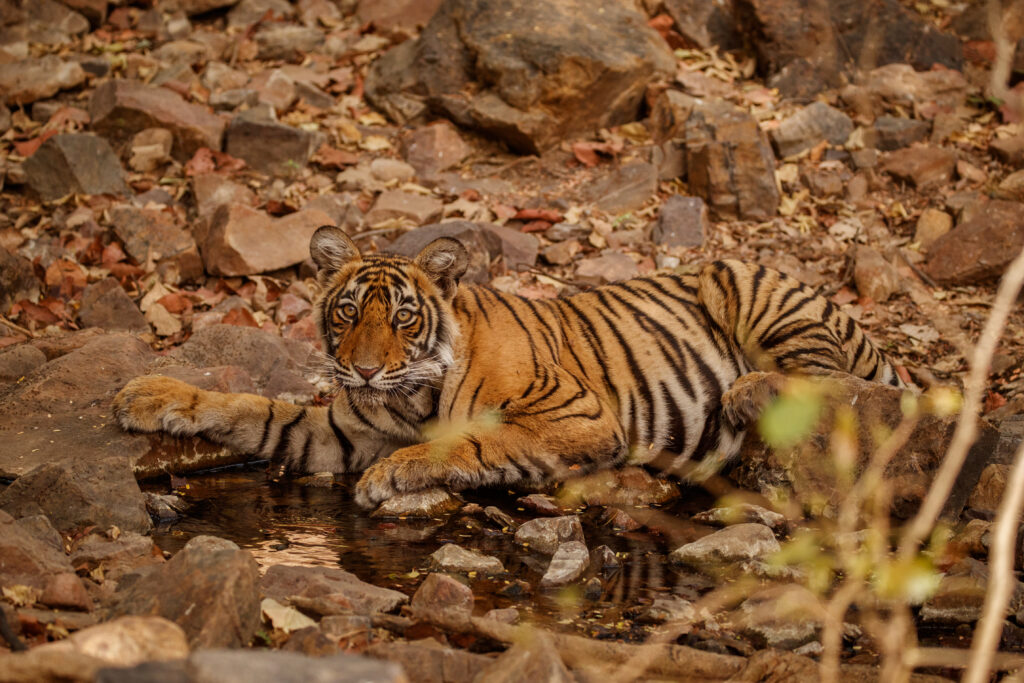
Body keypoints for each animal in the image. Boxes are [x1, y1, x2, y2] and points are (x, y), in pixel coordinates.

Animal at [114, 225, 905, 508]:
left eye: (403, 317)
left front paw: (390, 477)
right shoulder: (336, 432)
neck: (405, 399)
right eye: (347, 313)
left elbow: (475, 440)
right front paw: (148, 394)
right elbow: (254, 409)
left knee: (836, 385)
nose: (363, 373)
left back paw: (746, 391)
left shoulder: (580, 414)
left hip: (743, 284)